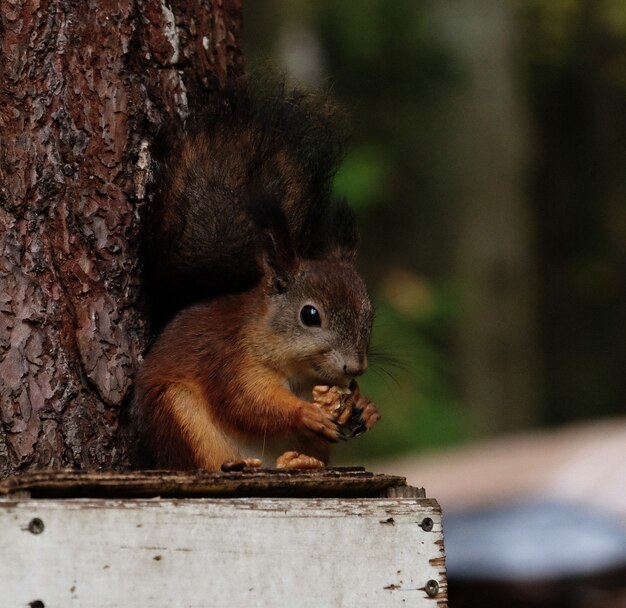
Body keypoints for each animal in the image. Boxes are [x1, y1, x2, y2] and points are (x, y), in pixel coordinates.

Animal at [133, 79, 380, 470]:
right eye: (310, 315)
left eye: (370, 314)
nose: (355, 368)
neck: (298, 371)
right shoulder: (227, 360)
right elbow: (247, 402)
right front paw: (303, 413)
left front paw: (366, 408)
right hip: (178, 411)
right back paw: (232, 465)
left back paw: (302, 462)